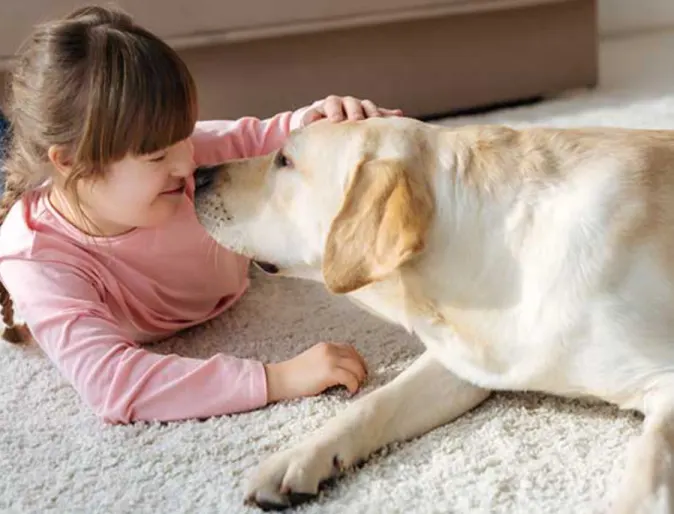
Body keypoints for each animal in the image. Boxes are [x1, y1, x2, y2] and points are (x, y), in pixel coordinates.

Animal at [192, 118, 672, 510]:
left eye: (284, 160)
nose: (198, 173)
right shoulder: (468, 362)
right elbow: (374, 403)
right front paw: (298, 457)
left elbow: (651, 458)